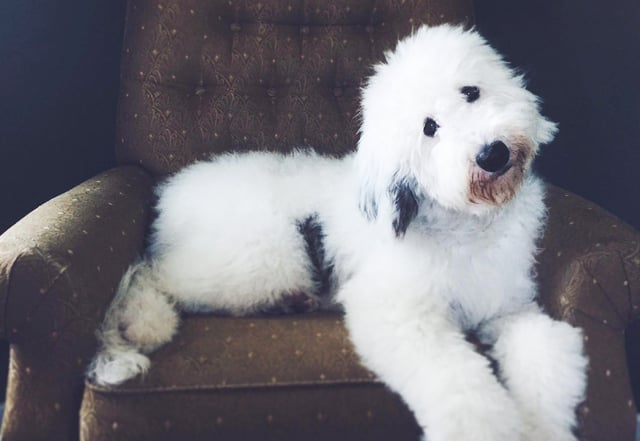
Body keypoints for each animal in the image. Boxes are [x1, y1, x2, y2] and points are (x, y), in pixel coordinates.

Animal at [91, 24, 592, 440]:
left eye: (471, 91)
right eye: (429, 128)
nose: (493, 154)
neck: (464, 225)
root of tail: (170, 193)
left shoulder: (510, 309)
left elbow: (547, 355)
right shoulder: (397, 311)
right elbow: (459, 382)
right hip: (262, 255)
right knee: (150, 270)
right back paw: (144, 320)